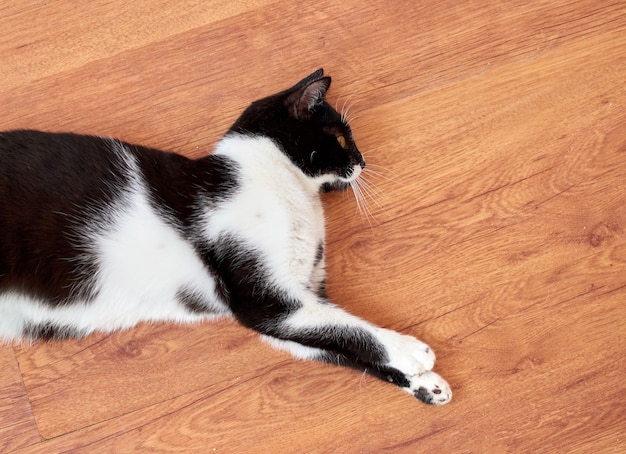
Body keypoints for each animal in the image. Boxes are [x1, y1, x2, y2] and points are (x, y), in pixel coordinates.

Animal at [0, 70, 448, 404]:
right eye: (340, 137)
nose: (363, 161)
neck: (283, 183)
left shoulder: (294, 308)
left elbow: (336, 338)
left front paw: (424, 383)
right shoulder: (267, 301)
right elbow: (352, 328)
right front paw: (410, 351)